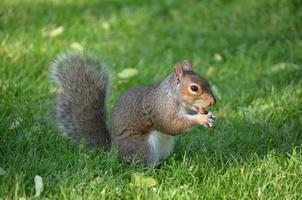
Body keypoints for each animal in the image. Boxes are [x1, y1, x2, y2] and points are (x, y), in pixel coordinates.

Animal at [50, 52, 216, 165]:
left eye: (207, 81)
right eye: (194, 88)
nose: (212, 101)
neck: (173, 96)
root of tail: (114, 151)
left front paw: (209, 115)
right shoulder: (161, 109)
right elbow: (172, 125)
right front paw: (201, 118)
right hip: (143, 147)